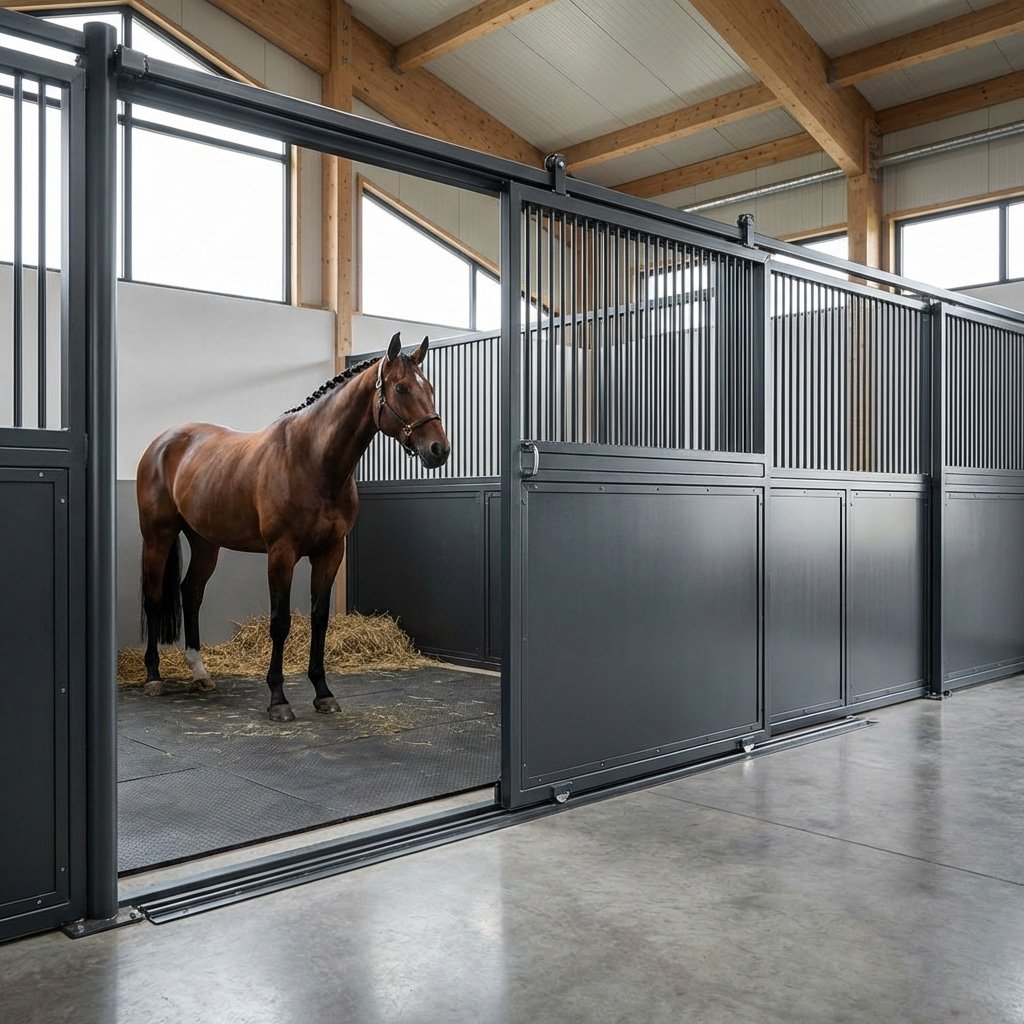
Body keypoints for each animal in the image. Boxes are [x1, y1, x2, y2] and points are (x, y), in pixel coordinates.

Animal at [135, 332, 450, 722]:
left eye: (430, 388)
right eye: (403, 388)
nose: (439, 449)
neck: (312, 459)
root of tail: (163, 442)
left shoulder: (330, 553)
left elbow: (319, 619)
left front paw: (323, 693)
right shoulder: (281, 553)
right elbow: (280, 621)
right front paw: (278, 699)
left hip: (206, 542)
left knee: (190, 592)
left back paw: (200, 672)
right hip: (158, 537)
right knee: (153, 597)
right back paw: (153, 677)